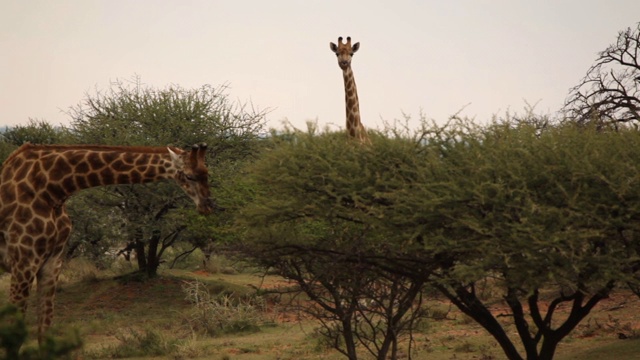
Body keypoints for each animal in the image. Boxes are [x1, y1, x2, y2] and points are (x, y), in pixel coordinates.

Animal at [0, 142, 215, 342]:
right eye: (189, 176)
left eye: (207, 173)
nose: (207, 205)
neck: (53, 189)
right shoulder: (24, 263)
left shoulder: (52, 263)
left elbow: (44, 330)